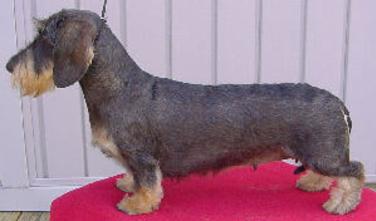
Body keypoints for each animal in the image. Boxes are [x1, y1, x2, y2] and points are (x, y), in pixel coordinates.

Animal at [5, 9, 364, 215]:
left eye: (45, 38)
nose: (9, 66)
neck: (120, 87)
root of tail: (336, 99)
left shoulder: (143, 158)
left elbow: (148, 183)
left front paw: (137, 204)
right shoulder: (134, 159)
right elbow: (135, 176)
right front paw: (129, 186)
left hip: (325, 153)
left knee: (355, 171)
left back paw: (341, 203)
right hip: (319, 154)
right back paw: (314, 183)